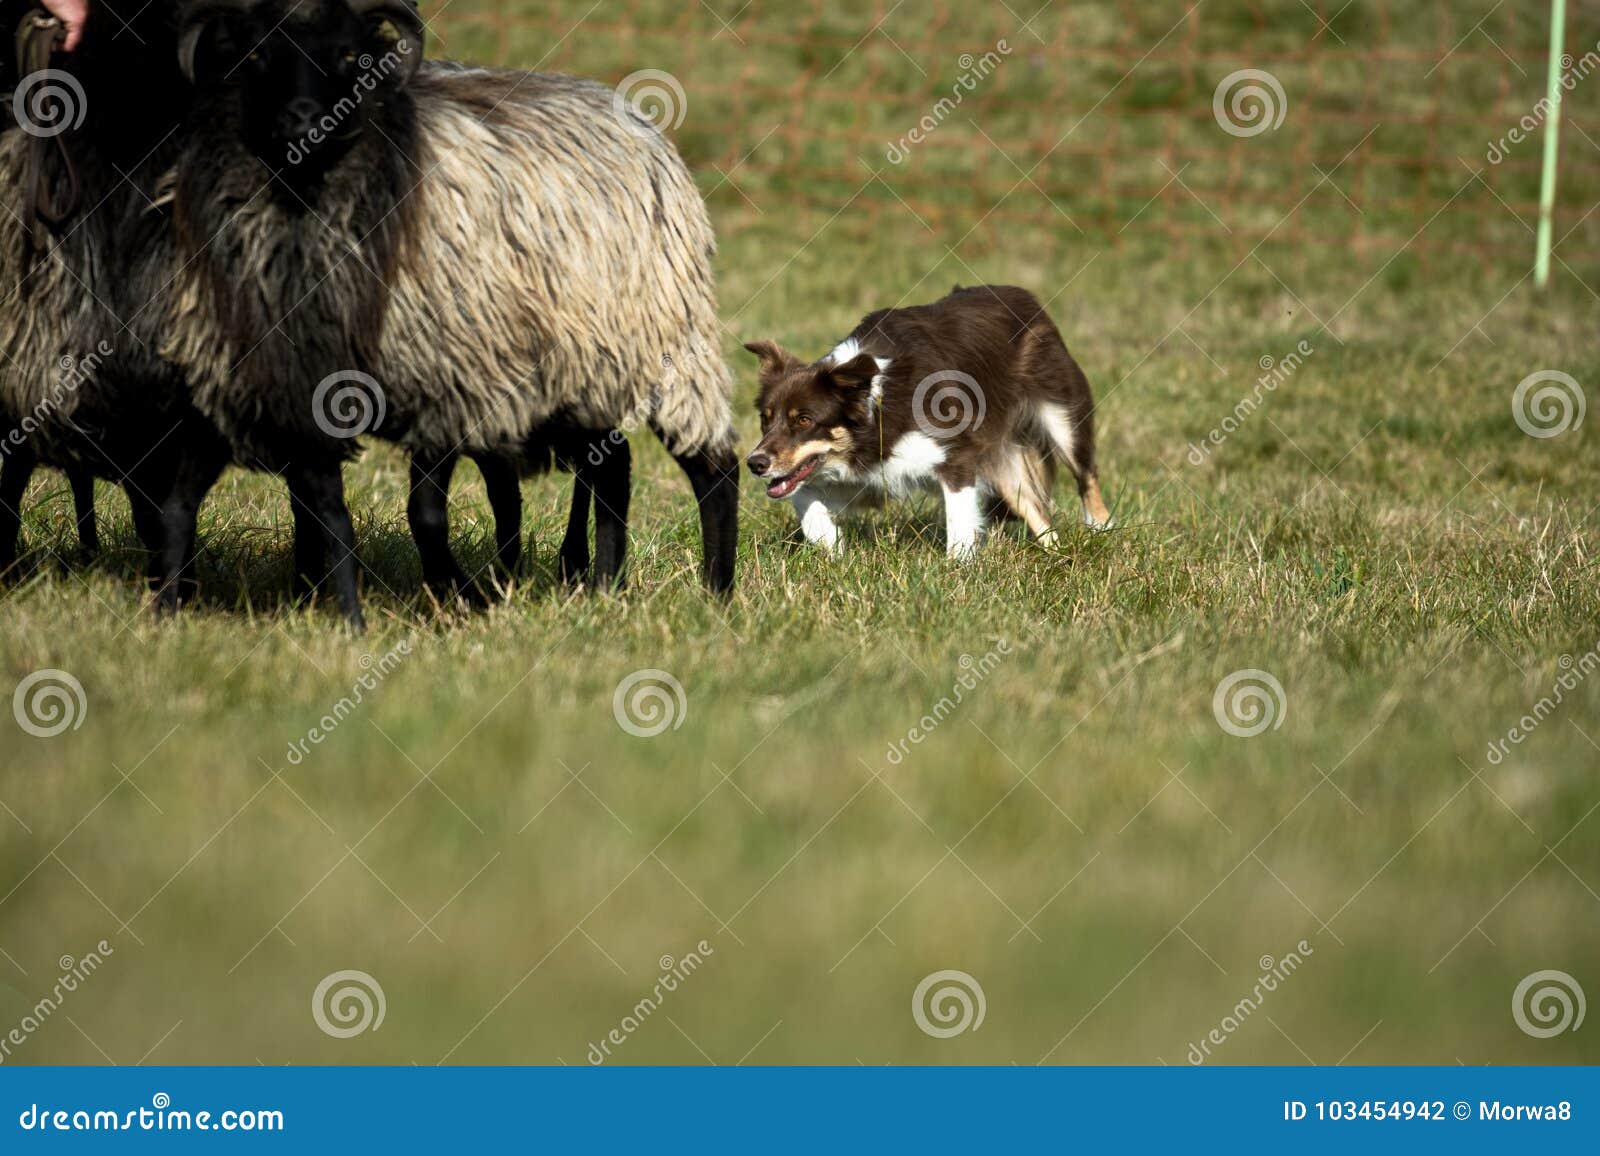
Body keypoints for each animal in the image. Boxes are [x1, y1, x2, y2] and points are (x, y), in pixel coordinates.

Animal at [742, 286, 1107, 557]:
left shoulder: (957, 458)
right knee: (1037, 513)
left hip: (1064, 418)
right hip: (1002, 461)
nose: (754, 463)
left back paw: (1100, 529)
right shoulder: (861, 479)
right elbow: (804, 500)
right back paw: (1058, 555)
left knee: (1086, 476)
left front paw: (958, 570)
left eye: (804, 420)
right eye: (765, 419)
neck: (878, 406)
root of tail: (1024, 297)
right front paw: (831, 547)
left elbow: (959, 523)